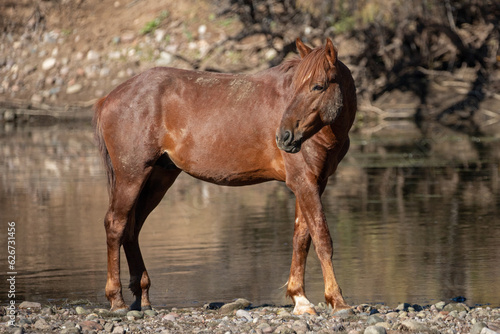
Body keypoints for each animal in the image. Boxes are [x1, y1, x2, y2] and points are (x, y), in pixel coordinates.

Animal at [94, 37, 358, 314]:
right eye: (295, 86)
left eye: (318, 86)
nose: (284, 136)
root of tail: (109, 98)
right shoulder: (304, 182)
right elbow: (321, 238)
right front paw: (337, 300)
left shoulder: (313, 183)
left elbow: (302, 238)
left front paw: (300, 298)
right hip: (132, 175)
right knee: (116, 224)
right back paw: (117, 300)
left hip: (158, 178)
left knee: (132, 229)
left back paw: (142, 296)